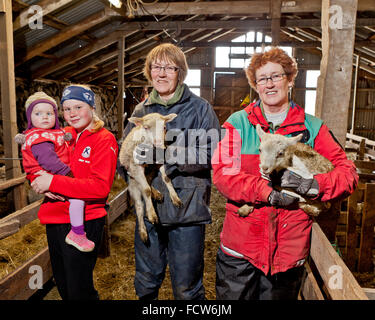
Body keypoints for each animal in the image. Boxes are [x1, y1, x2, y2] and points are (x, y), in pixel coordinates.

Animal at [120, 113, 184, 242]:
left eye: (164, 127)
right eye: (145, 127)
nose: (159, 144)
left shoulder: (159, 160)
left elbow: (166, 178)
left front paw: (175, 198)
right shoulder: (136, 167)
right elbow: (146, 191)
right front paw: (152, 215)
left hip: (149, 172)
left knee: (148, 182)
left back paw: (157, 194)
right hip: (133, 183)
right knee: (139, 205)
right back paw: (143, 232)